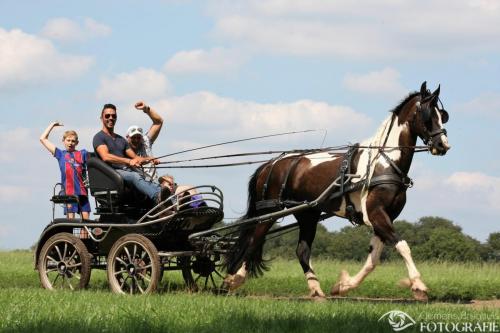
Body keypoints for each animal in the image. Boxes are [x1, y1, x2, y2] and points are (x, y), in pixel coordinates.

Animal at [222, 81, 450, 300]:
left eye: (443, 116)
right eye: (428, 115)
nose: (443, 145)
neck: (384, 162)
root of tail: (270, 164)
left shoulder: (384, 216)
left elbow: (373, 258)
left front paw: (344, 286)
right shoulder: (376, 213)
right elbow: (402, 245)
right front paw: (418, 285)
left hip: (307, 213)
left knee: (301, 250)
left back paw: (316, 289)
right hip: (269, 211)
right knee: (253, 242)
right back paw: (233, 280)